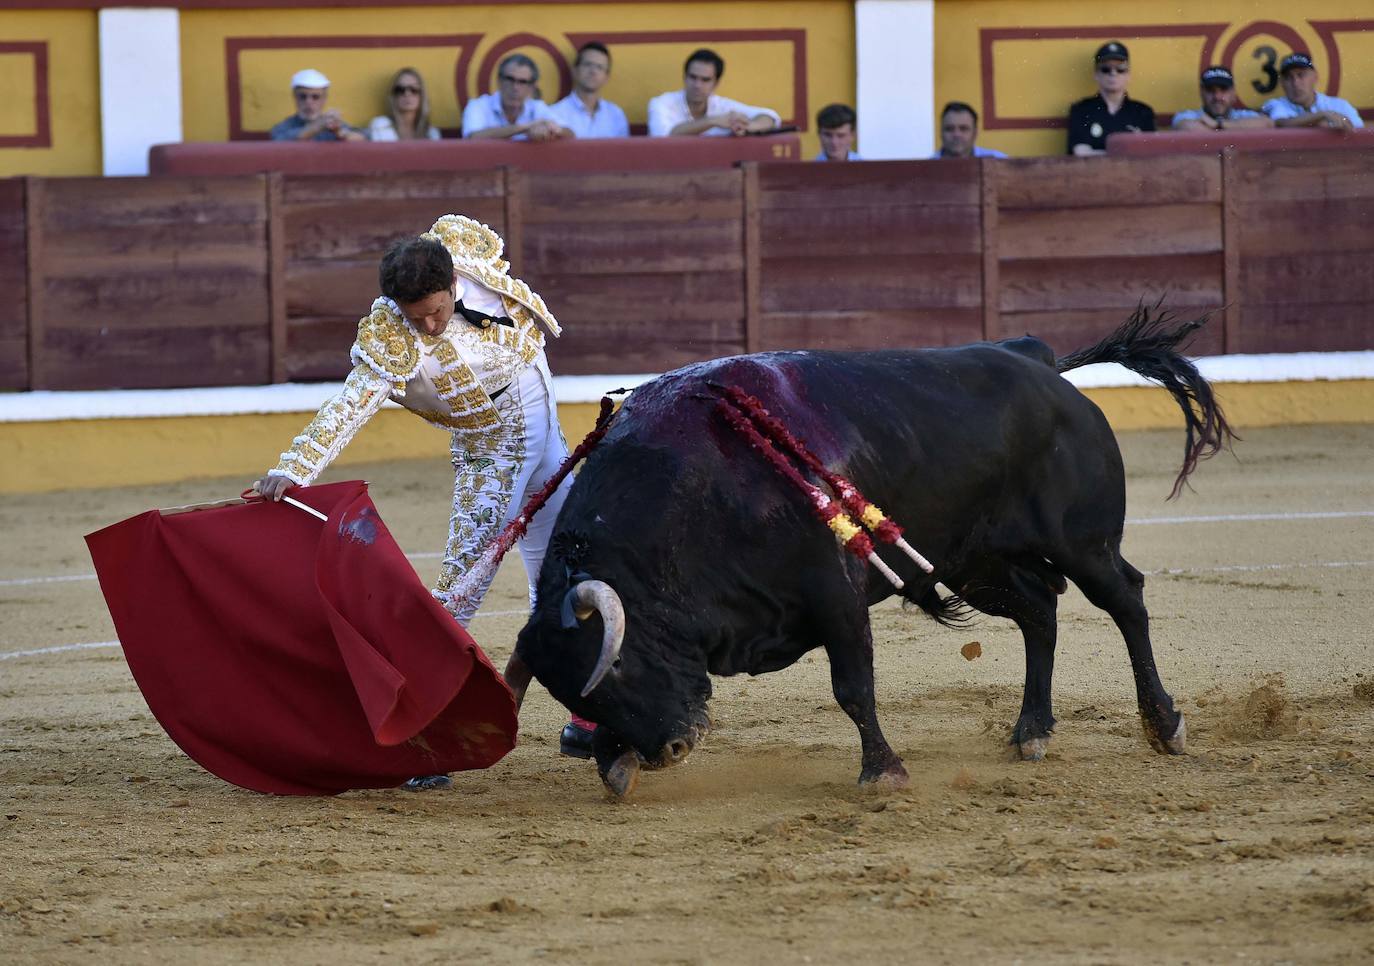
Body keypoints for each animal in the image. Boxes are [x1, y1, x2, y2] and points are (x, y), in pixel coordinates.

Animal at [508, 311, 1236, 802]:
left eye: (620, 664)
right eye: (577, 691)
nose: (671, 749)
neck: (700, 495)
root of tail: (1041, 366)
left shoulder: (835, 593)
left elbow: (853, 688)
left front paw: (883, 772)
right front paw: (613, 763)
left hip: (1082, 543)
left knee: (1125, 601)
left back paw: (1164, 725)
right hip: (976, 562)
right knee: (1039, 613)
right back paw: (1031, 731)